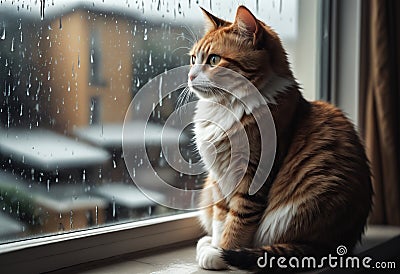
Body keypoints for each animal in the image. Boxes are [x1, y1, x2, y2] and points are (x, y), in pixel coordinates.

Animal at [189, 5, 374, 272]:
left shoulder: (253, 176)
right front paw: (214, 244)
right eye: (194, 59)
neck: (228, 107)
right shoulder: (219, 178)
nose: (190, 76)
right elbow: (220, 216)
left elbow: (238, 220)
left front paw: (221, 252)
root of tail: (338, 244)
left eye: (214, 60)